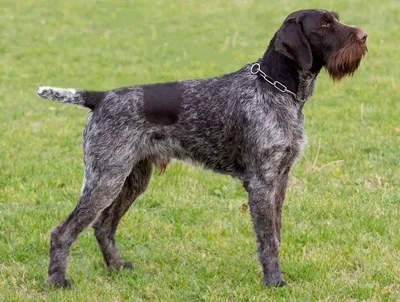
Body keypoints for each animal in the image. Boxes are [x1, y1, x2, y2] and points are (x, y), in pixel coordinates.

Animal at [36, 9, 368, 288]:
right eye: (324, 25)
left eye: (335, 18)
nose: (365, 36)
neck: (277, 88)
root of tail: (101, 96)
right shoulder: (262, 182)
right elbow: (267, 239)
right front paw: (274, 281)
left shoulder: (281, 178)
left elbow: (276, 232)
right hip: (105, 178)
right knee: (62, 232)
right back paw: (57, 281)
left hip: (132, 179)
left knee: (103, 226)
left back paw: (116, 266)